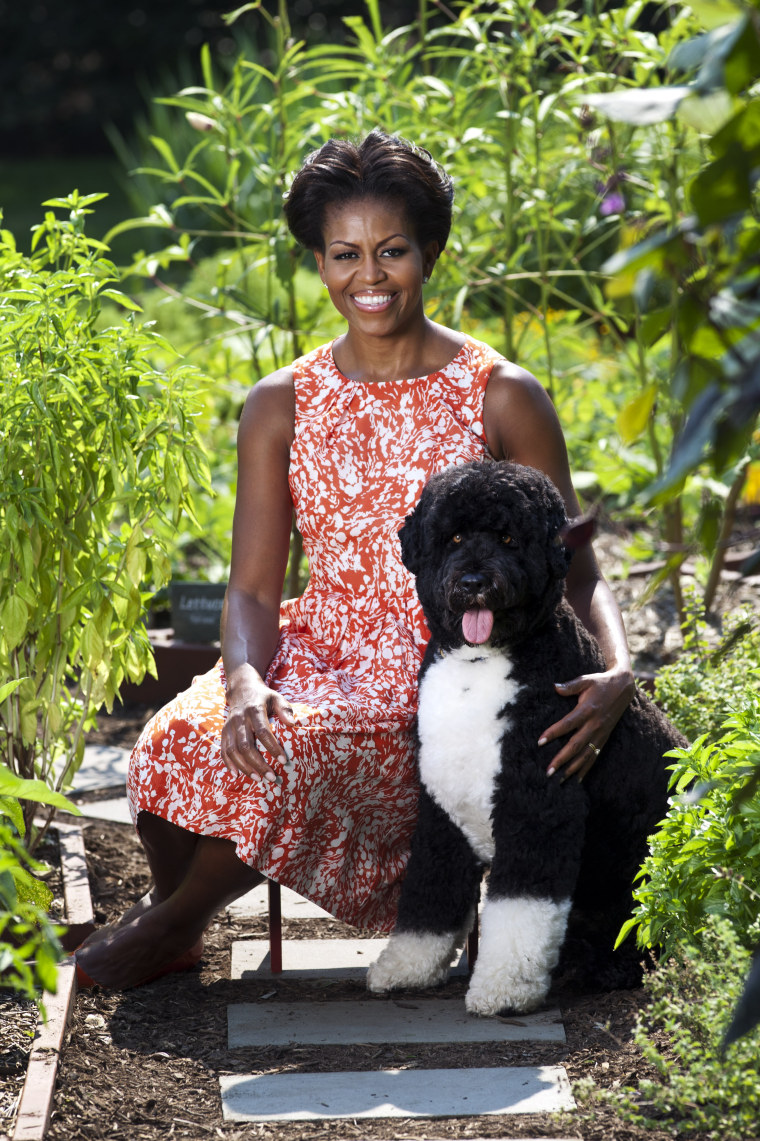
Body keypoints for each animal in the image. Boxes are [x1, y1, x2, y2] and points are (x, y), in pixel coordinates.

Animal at [367, 463, 680, 1017]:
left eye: (510, 538)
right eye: (453, 538)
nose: (473, 581)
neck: (479, 664)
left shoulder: (537, 806)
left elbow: (519, 912)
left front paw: (504, 988)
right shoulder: (440, 808)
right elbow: (428, 891)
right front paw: (407, 967)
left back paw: (607, 967)